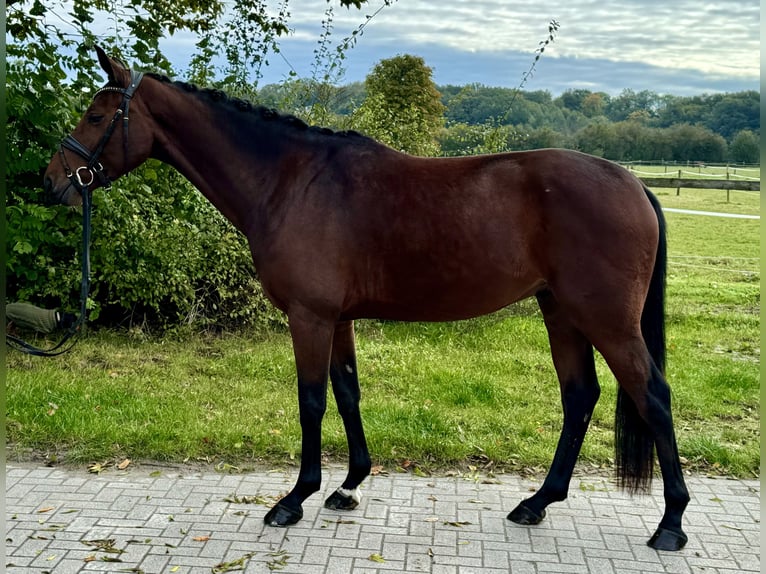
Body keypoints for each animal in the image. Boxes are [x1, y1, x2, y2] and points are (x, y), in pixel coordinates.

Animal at [42, 47, 692, 552]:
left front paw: (294, 498)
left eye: (97, 114)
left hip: (607, 319)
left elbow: (311, 400)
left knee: (653, 396)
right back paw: (537, 503)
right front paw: (348, 485)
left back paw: (671, 524)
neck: (290, 180)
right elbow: (347, 390)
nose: (50, 183)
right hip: (560, 312)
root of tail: (634, 183)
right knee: (580, 395)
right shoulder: (338, 319)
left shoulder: (308, 317)